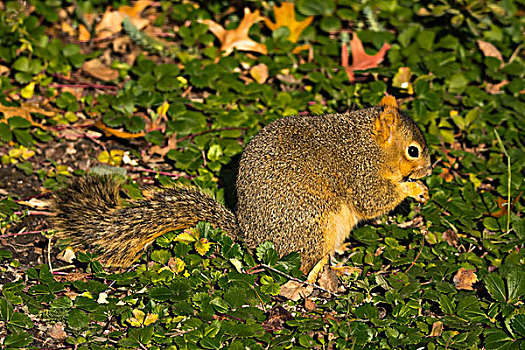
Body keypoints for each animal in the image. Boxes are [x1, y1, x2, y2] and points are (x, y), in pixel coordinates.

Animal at [52, 96, 430, 276]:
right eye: (413, 151)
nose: (429, 168)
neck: (368, 144)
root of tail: (249, 237)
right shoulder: (359, 173)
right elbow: (373, 200)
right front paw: (413, 190)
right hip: (313, 224)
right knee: (304, 265)